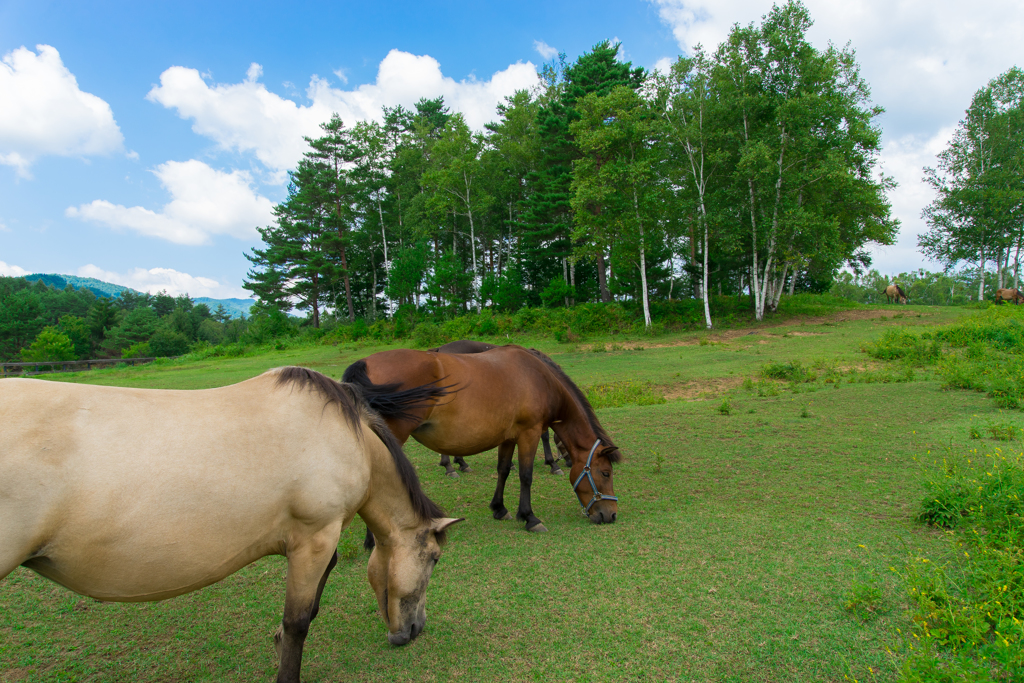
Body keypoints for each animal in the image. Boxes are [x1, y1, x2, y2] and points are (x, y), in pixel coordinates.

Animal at [425, 339, 565, 479]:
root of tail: (439, 350)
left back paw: (461, 463)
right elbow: (544, 435)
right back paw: (449, 467)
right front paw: (553, 464)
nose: (568, 463)